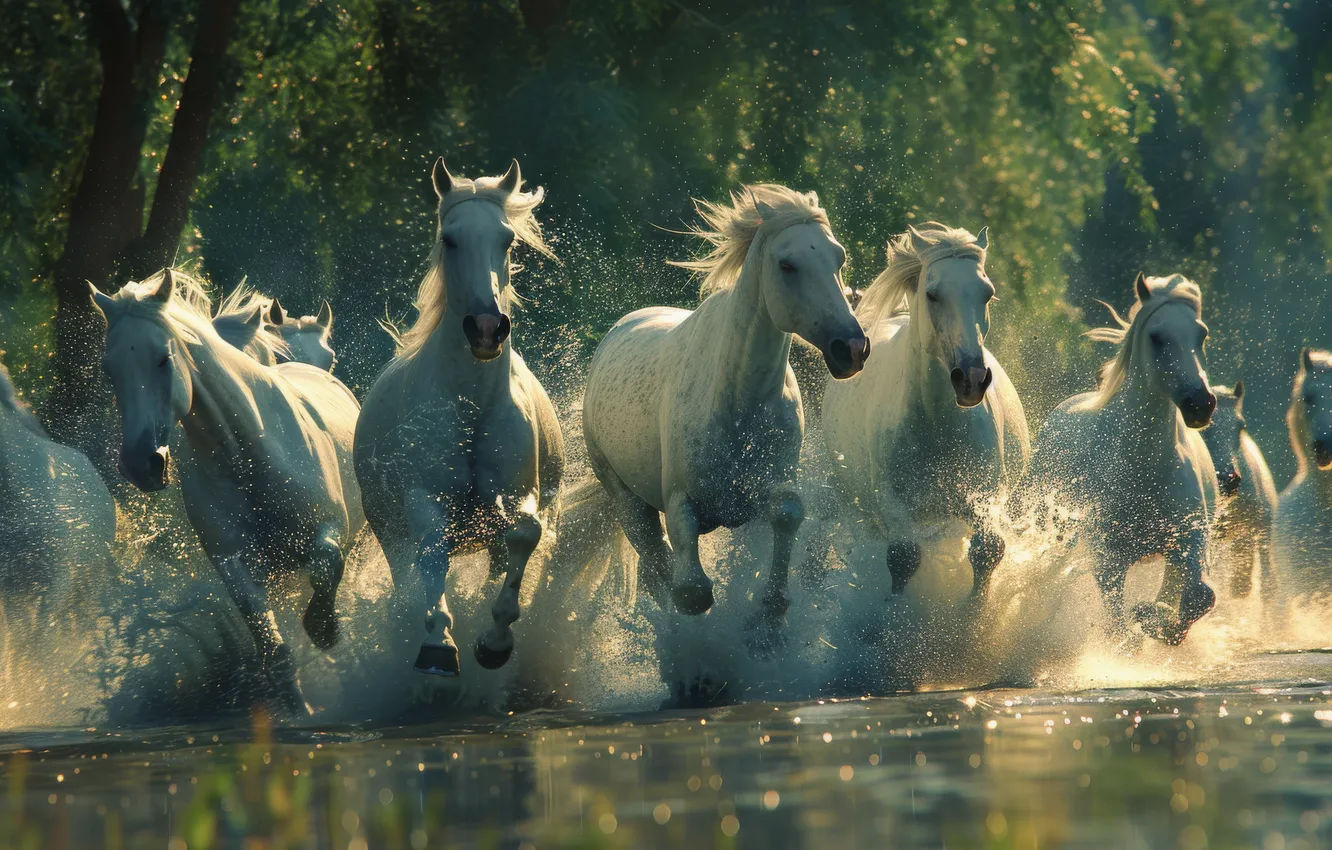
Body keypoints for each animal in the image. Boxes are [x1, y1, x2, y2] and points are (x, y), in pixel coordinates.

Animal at [91, 268, 364, 715]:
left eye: (163, 359)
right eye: (109, 369)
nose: (139, 464)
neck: (248, 457)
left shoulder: (330, 527)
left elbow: (325, 568)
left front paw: (325, 629)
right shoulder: (233, 564)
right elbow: (275, 649)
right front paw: (297, 711)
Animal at [354, 158, 564, 678]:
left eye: (507, 240)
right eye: (449, 239)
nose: (486, 329)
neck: (471, 407)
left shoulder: (517, 495)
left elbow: (525, 534)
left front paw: (495, 640)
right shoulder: (424, 499)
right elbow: (431, 553)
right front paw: (438, 644)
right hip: (388, 530)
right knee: (408, 572)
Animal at [581, 184, 868, 658]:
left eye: (838, 257)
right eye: (786, 264)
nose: (852, 347)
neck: (736, 401)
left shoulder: (765, 488)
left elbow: (788, 512)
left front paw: (769, 619)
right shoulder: (680, 502)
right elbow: (692, 592)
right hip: (626, 500)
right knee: (653, 564)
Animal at [821, 223, 1029, 599]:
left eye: (987, 293)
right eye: (932, 294)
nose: (971, 379)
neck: (938, 426)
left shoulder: (987, 496)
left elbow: (988, 550)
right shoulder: (892, 504)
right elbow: (903, 556)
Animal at [1025, 272, 1218, 646]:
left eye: (1201, 334)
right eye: (1156, 336)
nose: (1200, 403)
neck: (1144, 465)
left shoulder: (1189, 540)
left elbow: (1199, 597)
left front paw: (1153, 618)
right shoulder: (1109, 560)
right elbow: (1117, 630)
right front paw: (1145, 620)